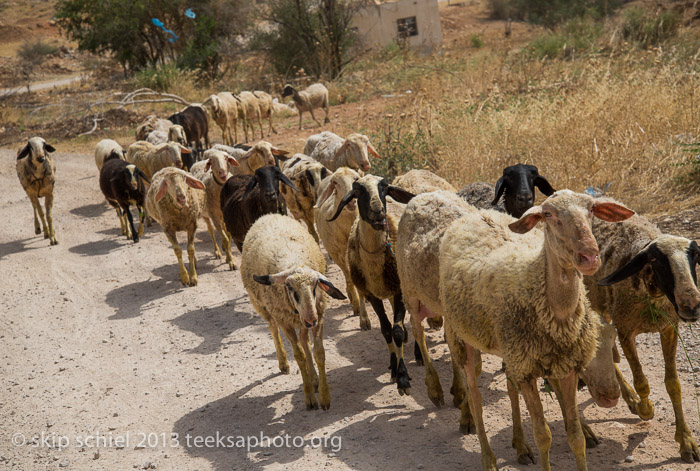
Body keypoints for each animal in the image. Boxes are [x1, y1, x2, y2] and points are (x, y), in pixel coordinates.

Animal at [241, 214, 348, 410]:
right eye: (289, 287)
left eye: (315, 285)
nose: (310, 319)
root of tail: (269, 215)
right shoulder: (286, 322)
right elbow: (299, 356)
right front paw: (310, 398)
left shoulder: (319, 316)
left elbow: (318, 353)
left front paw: (324, 396)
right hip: (264, 308)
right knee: (273, 328)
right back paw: (283, 362)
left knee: (304, 340)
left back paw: (314, 379)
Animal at [326, 175, 416, 396]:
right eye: (358, 191)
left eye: (384, 188)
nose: (378, 210)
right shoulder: (372, 295)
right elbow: (386, 330)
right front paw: (394, 369)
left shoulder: (399, 290)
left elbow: (396, 330)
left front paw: (403, 378)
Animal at [438, 192, 636, 471]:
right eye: (548, 215)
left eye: (591, 209)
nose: (589, 257)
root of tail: (476, 214)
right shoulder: (528, 371)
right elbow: (543, 435)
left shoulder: (566, 366)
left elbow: (575, 435)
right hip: (462, 337)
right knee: (475, 399)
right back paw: (488, 458)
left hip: (511, 351)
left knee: (509, 388)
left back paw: (520, 445)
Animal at [584, 201, 700, 462]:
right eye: (656, 260)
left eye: (695, 256)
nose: (691, 305)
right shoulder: (626, 330)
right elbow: (642, 382)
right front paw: (646, 409)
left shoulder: (669, 328)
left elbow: (673, 384)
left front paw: (686, 441)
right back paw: (631, 399)